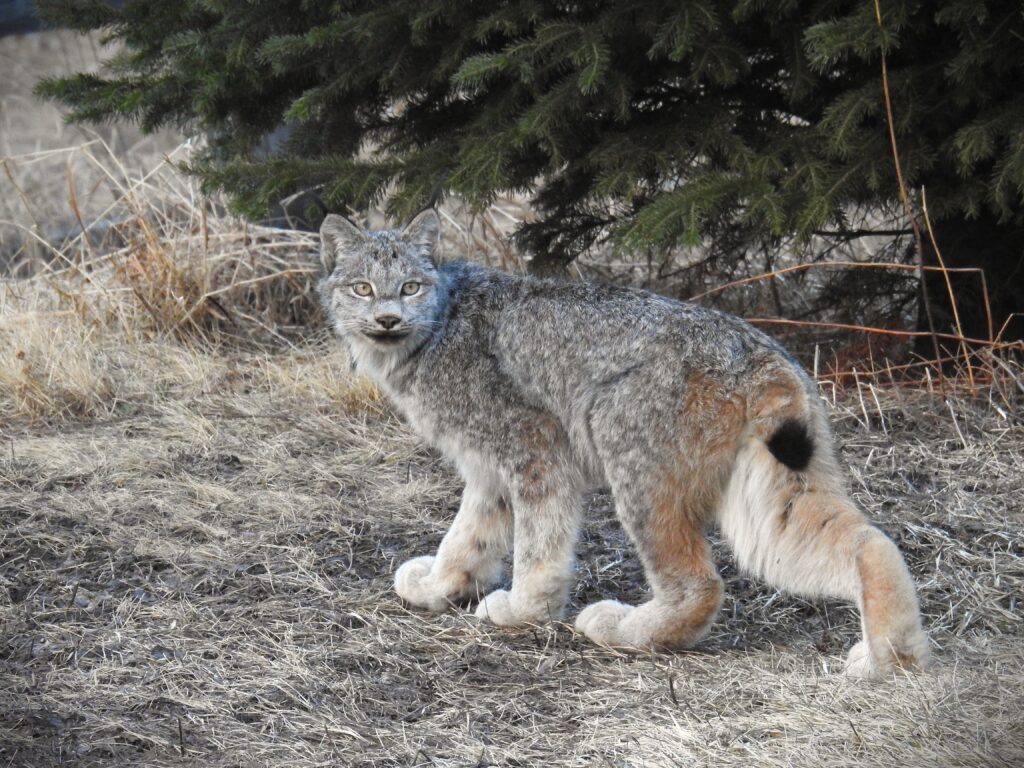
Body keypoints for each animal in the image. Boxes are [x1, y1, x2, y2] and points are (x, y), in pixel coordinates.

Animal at [318, 209, 929, 678]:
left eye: (410, 287)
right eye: (362, 288)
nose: (387, 319)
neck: (433, 327)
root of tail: (756, 348)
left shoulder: (534, 447)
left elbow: (537, 542)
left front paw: (524, 610)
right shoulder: (487, 466)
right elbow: (468, 535)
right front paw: (441, 586)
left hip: (630, 451)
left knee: (700, 585)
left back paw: (626, 629)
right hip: (773, 483)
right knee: (869, 541)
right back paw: (891, 658)